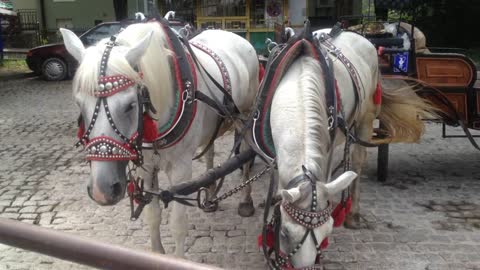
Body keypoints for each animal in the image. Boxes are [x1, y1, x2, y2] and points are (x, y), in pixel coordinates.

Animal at [62, 20, 260, 256]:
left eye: (130, 105)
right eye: (79, 104)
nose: (103, 190)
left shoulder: (181, 169)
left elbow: (178, 224)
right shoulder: (147, 167)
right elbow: (153, 215)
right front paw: (157, 253)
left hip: (246, 115)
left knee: (246, 157)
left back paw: (246, 201)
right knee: (210, 152)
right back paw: (211, 195)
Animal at [262, 28, 436, 266]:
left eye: (326, 233)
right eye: (285, 233)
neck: (298, 87)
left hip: (366, 116)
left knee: (357, 160)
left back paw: (352, 212)